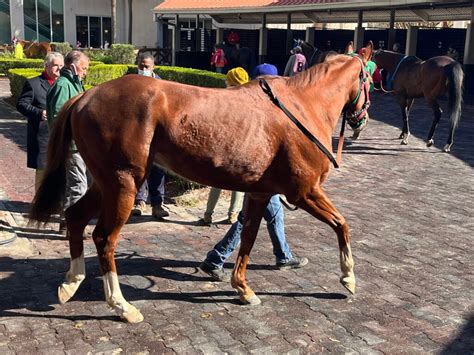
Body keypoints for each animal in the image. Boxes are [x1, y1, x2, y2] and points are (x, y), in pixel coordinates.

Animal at [29, 43, 376, 324]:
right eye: (370, 79)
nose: (361, 119)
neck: (301, 105)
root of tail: (84, 96)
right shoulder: (304, 191)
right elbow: (341, 224)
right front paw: (349, 278)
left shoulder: (261, 193)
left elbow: (248, 237)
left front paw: (243, 288)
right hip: (123, 183)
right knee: (104, 238)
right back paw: (122, 306)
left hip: (105, 183)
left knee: (76, 217)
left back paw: (71, 281)